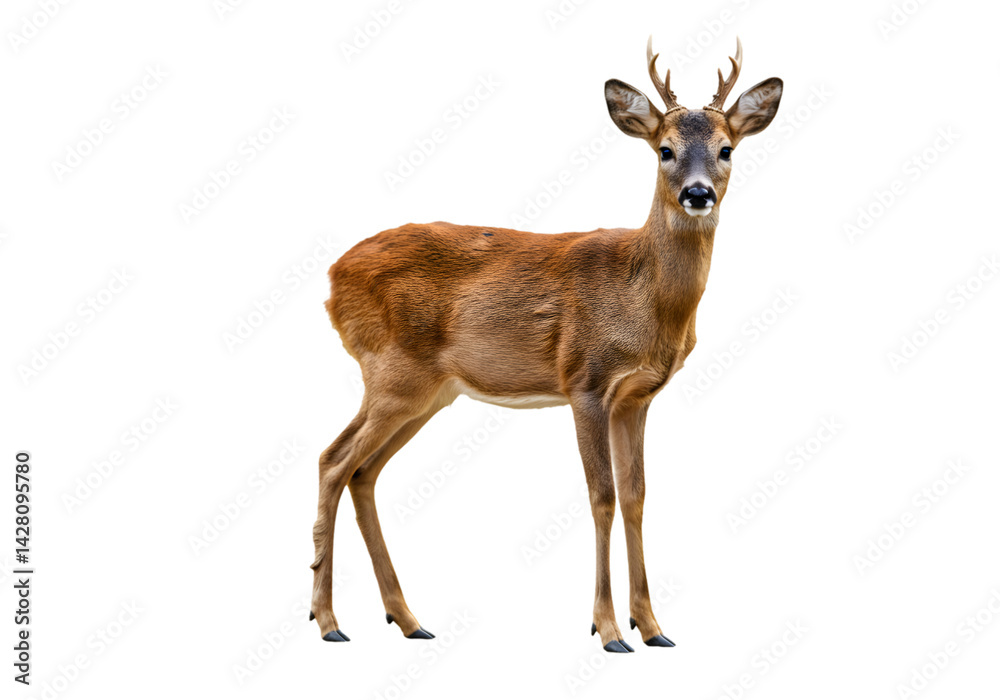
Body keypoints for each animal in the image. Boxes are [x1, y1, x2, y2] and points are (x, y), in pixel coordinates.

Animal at [310, 36, 782, 652]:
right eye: (664, 150)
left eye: (727, 149)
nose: (697, 193)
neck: (647, 300)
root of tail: (331, 277)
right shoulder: (585, 380)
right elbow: (602, 496)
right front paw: (608, 629)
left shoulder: (637, 397)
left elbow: (636, 496)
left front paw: (653, 626)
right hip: (392, 373)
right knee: (333, 460)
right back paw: (328, 621)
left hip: (428, 393)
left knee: (363, 471)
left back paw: (408, 619)